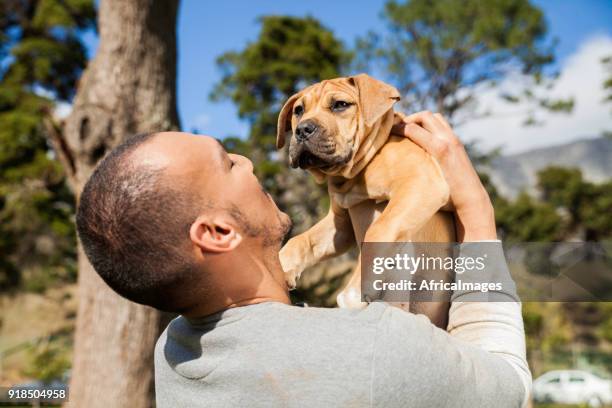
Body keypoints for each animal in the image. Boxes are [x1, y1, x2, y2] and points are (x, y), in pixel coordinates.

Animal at [278, 74, 454, 328]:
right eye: (298, 110)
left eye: (340, 105)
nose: (302, 129)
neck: (354, 174)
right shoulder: (341, 225)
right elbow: (302, 240)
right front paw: (282, 264)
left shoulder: (421, 182)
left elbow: (378, 230)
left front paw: (355, 291)